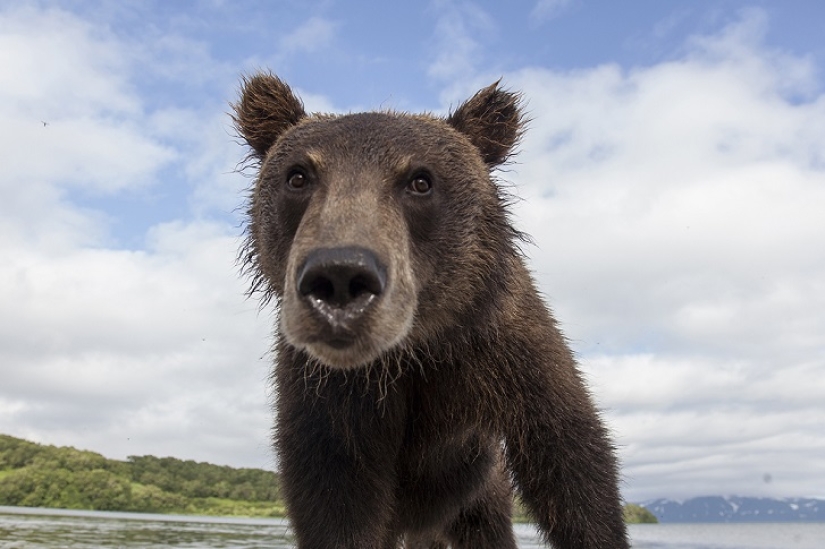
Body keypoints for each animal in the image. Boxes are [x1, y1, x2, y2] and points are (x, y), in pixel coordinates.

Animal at [233, 73, 629, 549]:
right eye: (298, 176)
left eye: (421, 180)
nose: (340, 276)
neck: (414, 350)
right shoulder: (328, 395)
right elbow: (335, 499)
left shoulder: (506, 352)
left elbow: (572, 464)